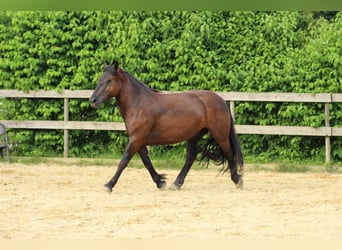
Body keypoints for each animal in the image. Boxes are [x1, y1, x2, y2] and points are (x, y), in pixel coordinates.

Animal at [89, 60, 243, 191]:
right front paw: (160, 182)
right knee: (191, 157)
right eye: (99, 80)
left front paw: (109, 185)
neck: (138, 103)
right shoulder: (139, 141)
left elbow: (124, 161)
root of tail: (221, 100)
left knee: (229, 154)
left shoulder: (136, 139)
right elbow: (147, 162)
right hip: (194, 135)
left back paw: (237, 180)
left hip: (220, 135)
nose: (93, 100)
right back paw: (177, 183)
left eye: (109, 80)